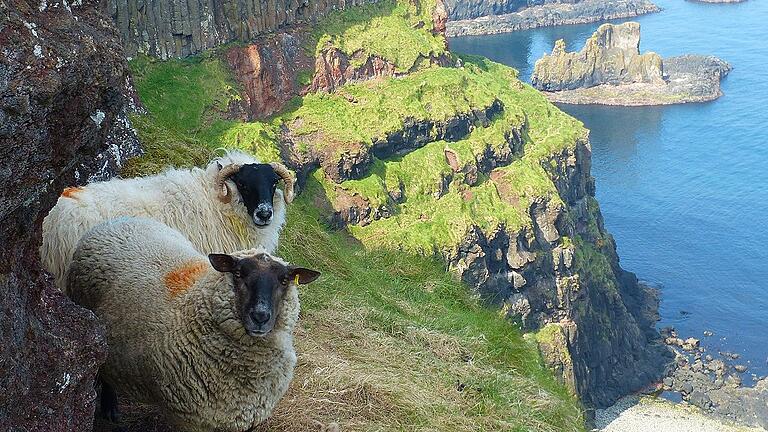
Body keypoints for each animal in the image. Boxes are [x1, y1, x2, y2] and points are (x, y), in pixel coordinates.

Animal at [65, 218, 318, 430]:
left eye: (284, 280)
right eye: (238, 273)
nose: (260, 316)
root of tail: (116, 220)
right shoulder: (192, 420)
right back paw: (110, 408)